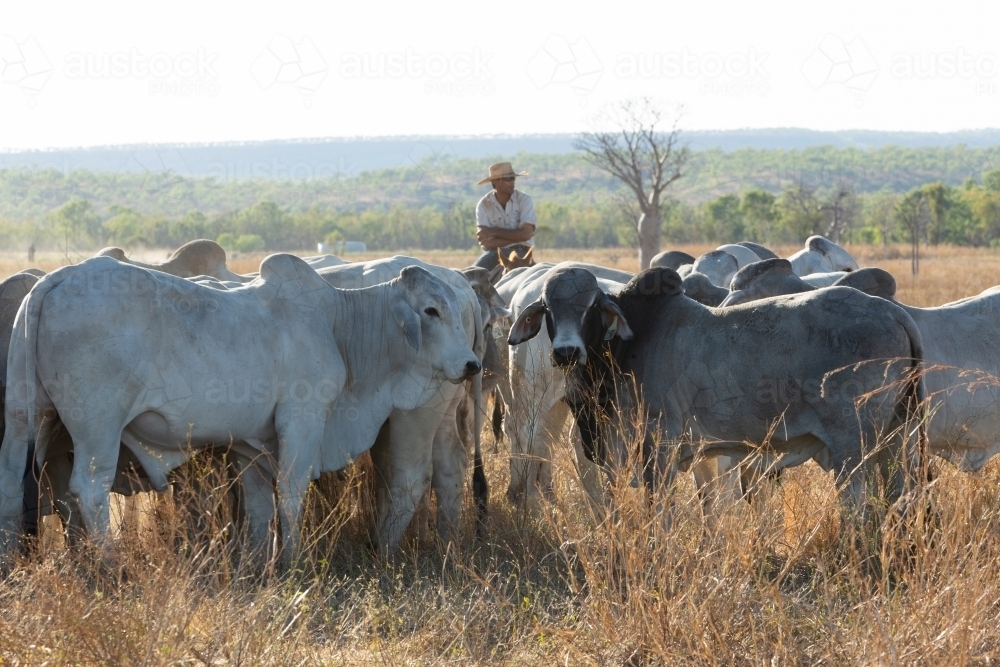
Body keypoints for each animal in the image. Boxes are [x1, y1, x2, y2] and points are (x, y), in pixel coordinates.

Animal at [0, 254, 481, 565]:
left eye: (455, 311)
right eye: (431, 310)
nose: (472, 364)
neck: (338, 323)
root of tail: (56, 279)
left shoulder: (251, 443)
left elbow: (259, 506)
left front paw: (257, 565)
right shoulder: (303, 420)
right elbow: (291, 493)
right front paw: (294, 563)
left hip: (24, 417)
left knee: (10, 486)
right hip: (97, 427)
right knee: (89, 489)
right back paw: (110, 567)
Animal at [507, 266, 927, 542]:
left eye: (591, 306)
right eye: (547, 307)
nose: (565, 352)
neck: (632, 343)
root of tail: (894, 312)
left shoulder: (659, 447)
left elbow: (659, 512)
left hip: (852, 448)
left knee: (860, 507)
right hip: (895, 439)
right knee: (898, 498)